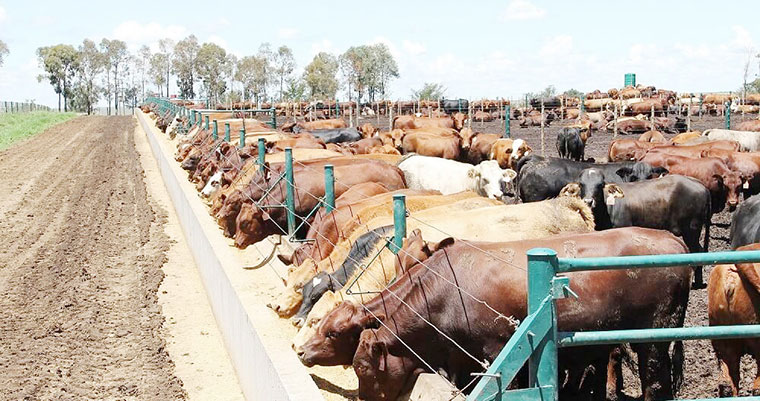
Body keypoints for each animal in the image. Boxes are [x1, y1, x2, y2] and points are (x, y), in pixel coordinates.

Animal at [560, 170, 712, 286]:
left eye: (600, 184)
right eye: (581, 184)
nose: (588, 201)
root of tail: (700, 185)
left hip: (691, 229)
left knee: (697, 251)